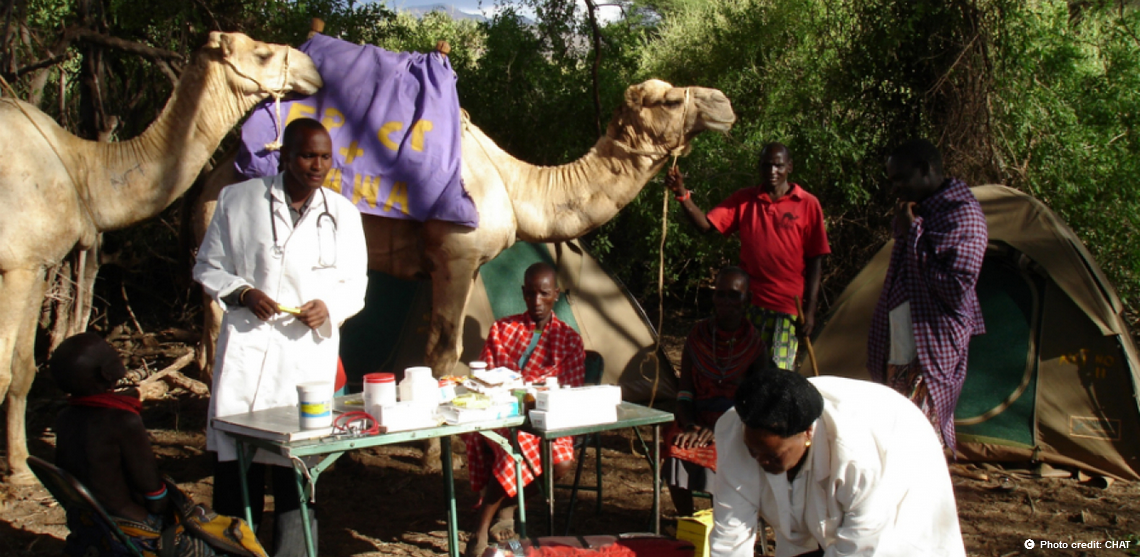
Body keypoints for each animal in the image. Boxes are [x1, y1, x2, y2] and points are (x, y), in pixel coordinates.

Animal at [0, 31, 323, 482]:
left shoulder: (35, 262)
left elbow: (21, 367)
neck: (80, 167)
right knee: (212, 346)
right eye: (261, 53)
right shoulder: (17, 264)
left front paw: (20, 468)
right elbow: (3, 368)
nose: (312, 70)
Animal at [191, 80, 734, 380]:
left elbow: (438, 348)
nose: (724, 104)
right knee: (220, 321)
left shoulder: (461, 266)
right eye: (669, 100)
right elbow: (445, 351)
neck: (514, 186)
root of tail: (215, 175)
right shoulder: (455, 256)